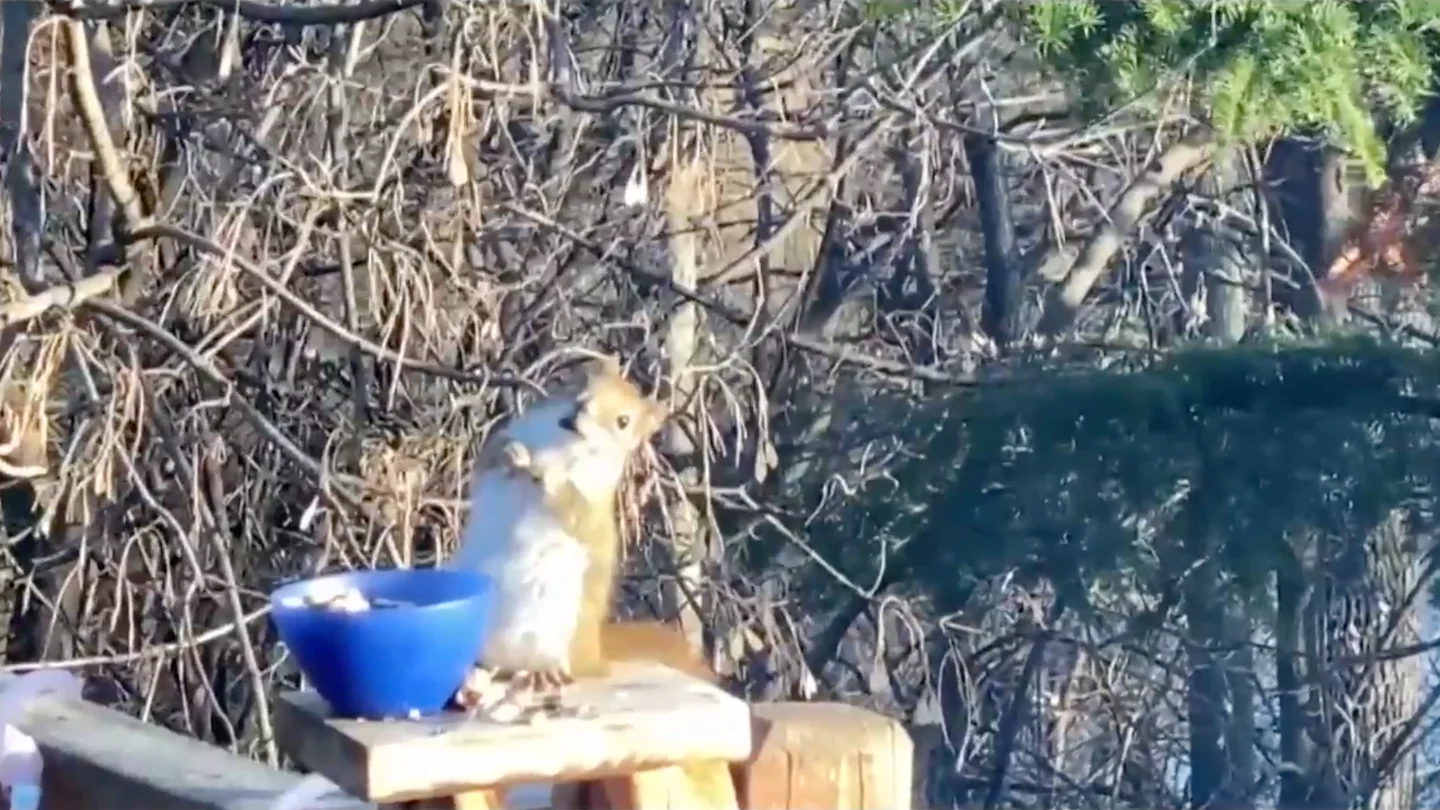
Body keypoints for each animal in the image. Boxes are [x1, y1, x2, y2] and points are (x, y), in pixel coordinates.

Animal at [448, 354, 711, 693]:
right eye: (583, 384)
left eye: (623, 422)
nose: (579, 413)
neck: (562, 445)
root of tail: (596, 656)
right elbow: (488, 460)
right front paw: (511, 453)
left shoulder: (593, 499)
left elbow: (575, 511)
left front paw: (550, 475)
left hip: (560, 628)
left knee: (565, 667)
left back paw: (545, 673)